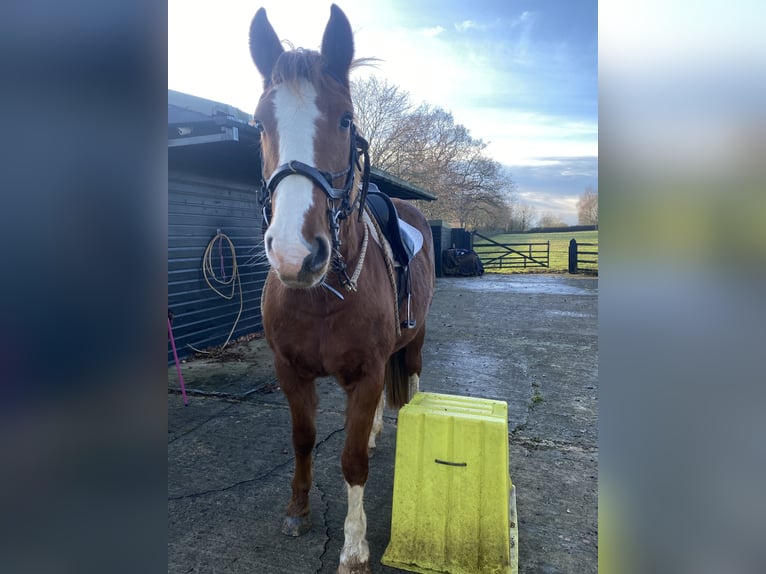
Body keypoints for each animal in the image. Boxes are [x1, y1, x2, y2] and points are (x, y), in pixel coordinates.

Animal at [249, 4, 436, 574]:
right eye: (259, 123)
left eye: (346, 119)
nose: (295, 254)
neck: (322, 299)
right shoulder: (290, 371)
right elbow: (303, 439)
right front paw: (298, 510)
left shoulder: (369, 371)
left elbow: (351, 461)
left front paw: (354, 547)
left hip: (414, 342)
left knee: (411, 381)